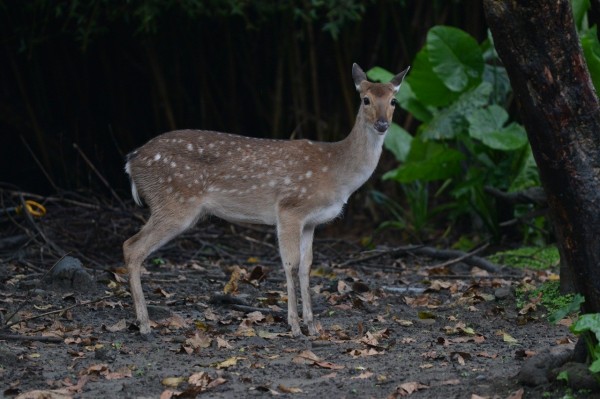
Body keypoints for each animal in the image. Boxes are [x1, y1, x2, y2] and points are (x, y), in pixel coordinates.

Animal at [124, 65, 410, 338]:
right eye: (365, 99)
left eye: (394, 100)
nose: (383, 124)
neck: (336, 173)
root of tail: (131, 161)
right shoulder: (289, 209)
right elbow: (290, 264)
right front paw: (294, 326)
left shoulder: (311, 222)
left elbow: (307, 267)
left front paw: (312, 326)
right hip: (174, 202)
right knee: (132, 247)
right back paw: (145, 324)